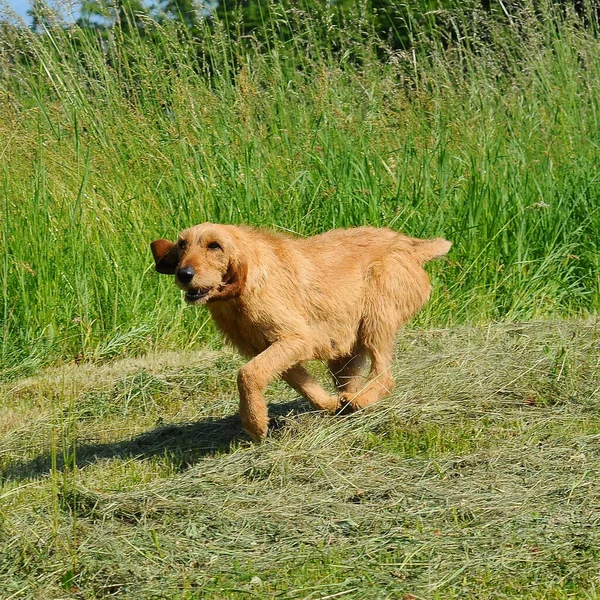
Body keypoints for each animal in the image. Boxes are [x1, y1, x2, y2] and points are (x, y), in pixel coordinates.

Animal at [151, 224, 450, 440]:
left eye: (215, 245)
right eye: (183, 244)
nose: (184, 274)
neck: (241, 291)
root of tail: (409, 245)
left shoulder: (296, 339)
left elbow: (247, 375)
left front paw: (255, 423)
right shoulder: (271, 350)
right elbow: (305, 386)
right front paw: (328, 404)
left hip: (375, 321)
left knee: (385, 378)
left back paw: (360, 400)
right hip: (345, 351)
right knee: (352, 379)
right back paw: (348, 405)